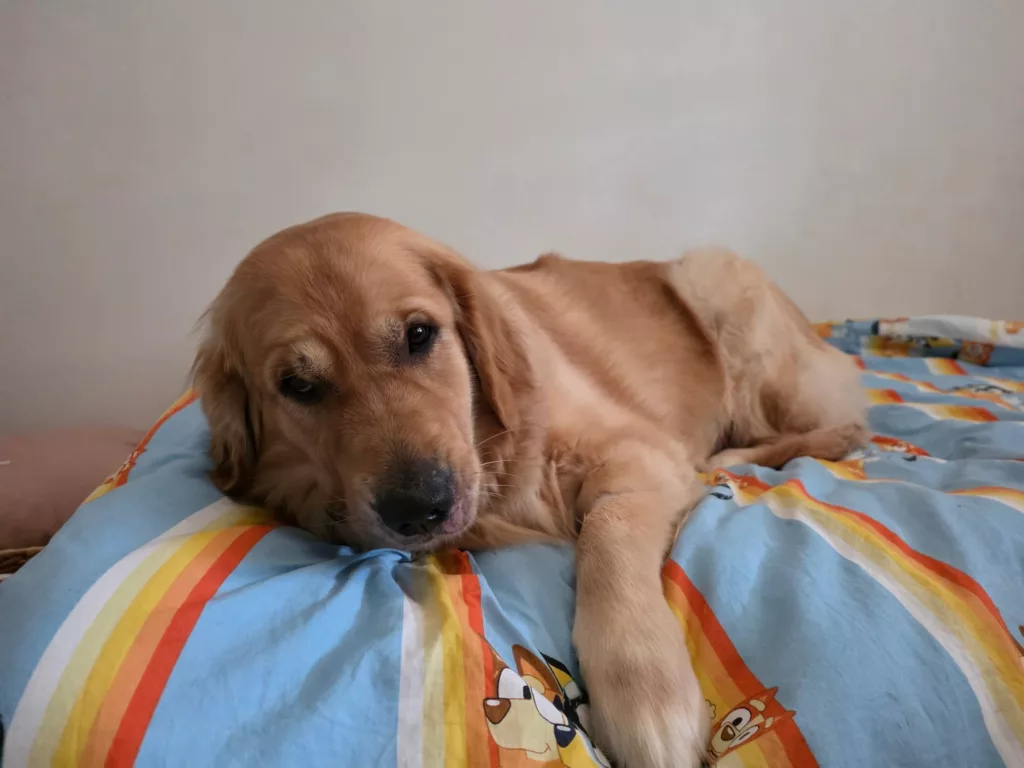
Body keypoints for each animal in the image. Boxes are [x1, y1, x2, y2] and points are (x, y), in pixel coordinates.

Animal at [192, 213, 866, 767]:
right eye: (298, 385)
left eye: (419, 334)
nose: (421, 509)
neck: (495, 452)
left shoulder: (641, 452)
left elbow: (606, 536)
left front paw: (646, 693)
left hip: (721, 291)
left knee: (835, 425)